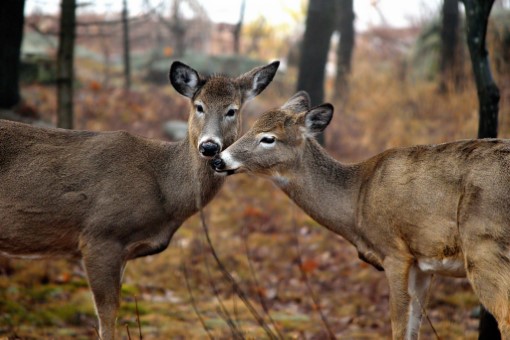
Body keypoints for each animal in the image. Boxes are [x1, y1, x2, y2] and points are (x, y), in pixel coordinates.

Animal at [0, 59, 278, 338]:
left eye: (232, 110)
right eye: (199, 106)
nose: (209, 146)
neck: (164, 189)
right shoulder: (100, 235)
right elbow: (107, 313)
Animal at [212, 91, 510, 340]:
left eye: (268, 138)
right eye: (250, 127)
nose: (218, 159)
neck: (357, 199)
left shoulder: (395, 252)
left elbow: (398, 328)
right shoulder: (423, 264)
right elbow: (414, 328)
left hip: (485, 247)